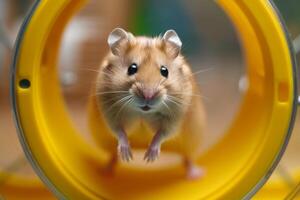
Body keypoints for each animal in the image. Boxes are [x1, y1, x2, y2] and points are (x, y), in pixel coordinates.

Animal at [89, 27, 206, 179]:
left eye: (164, 71)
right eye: (132, 68)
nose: (148, 95)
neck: (143, 112)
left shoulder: (174, 118)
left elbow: (161, 134)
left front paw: (149, 158)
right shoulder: (110, 112)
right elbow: (119, 131)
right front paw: (128, 156)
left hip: (190, 142)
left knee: (188, 158)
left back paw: (197, 174)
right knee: (112, 157)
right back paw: (105, 171)